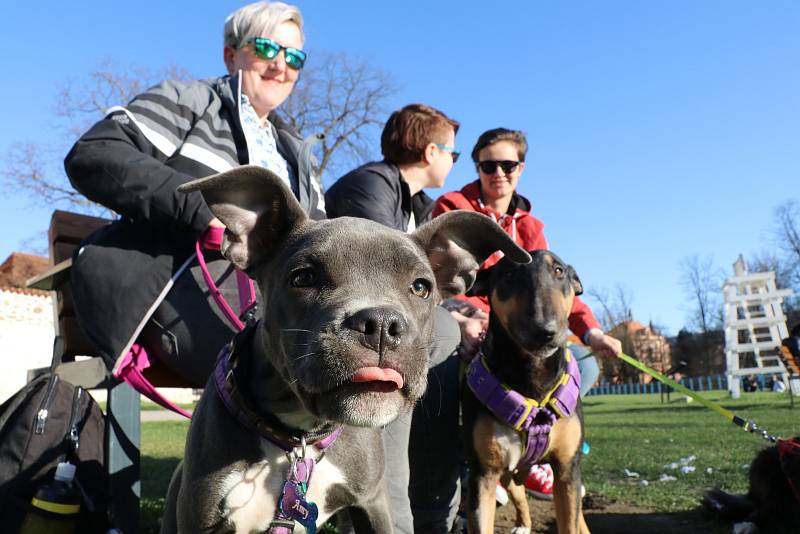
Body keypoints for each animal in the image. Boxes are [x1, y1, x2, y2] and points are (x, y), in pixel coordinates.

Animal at [462, 251, 588, 534]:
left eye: (559, 271)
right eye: (509, 273)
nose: (545, 331)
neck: (532, 376)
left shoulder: (567, 470)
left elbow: (570, 522)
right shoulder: (483, 475)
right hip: (507, 469)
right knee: (517, 492)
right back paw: (523, 524)